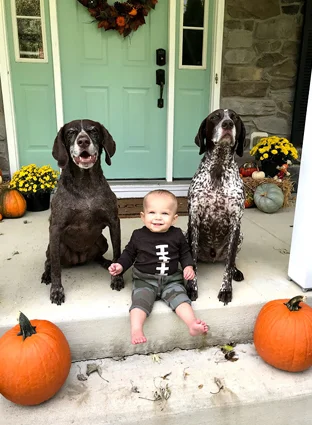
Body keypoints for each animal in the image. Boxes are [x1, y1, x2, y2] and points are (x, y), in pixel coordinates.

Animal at [41, 119, 124, 304]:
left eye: (93, 131)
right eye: (71, 132)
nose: (83, 141)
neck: (85, 183)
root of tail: (78, 260)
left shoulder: (114, 222)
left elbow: (118, 252)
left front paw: (117, 278)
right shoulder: (55, 229)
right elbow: (56, 267)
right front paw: (56, 290)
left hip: (102, 241)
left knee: (97, 256)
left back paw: (106, 263)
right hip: (54, 246)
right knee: (49, 262)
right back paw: (46, 275)